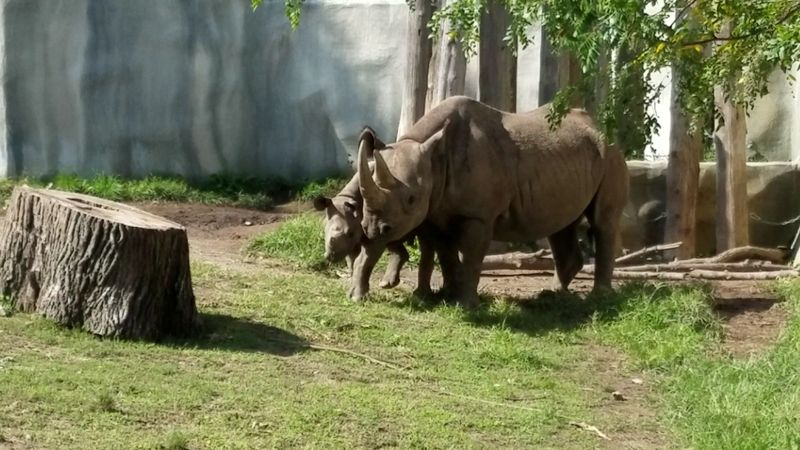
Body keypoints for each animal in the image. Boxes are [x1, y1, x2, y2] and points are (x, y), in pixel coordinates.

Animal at [353, 96, 629, 307]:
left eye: (411, 199)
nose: (373, 228)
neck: (433, 157)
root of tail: (598, 124)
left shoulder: (478, 215)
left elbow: (472, 256)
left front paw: (465, 305)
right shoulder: (437, 210)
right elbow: (446, 253)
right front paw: (448, 295)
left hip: (610, 153)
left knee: (603, 221)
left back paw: (599, 298)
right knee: (560, 224)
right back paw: (552, 296)